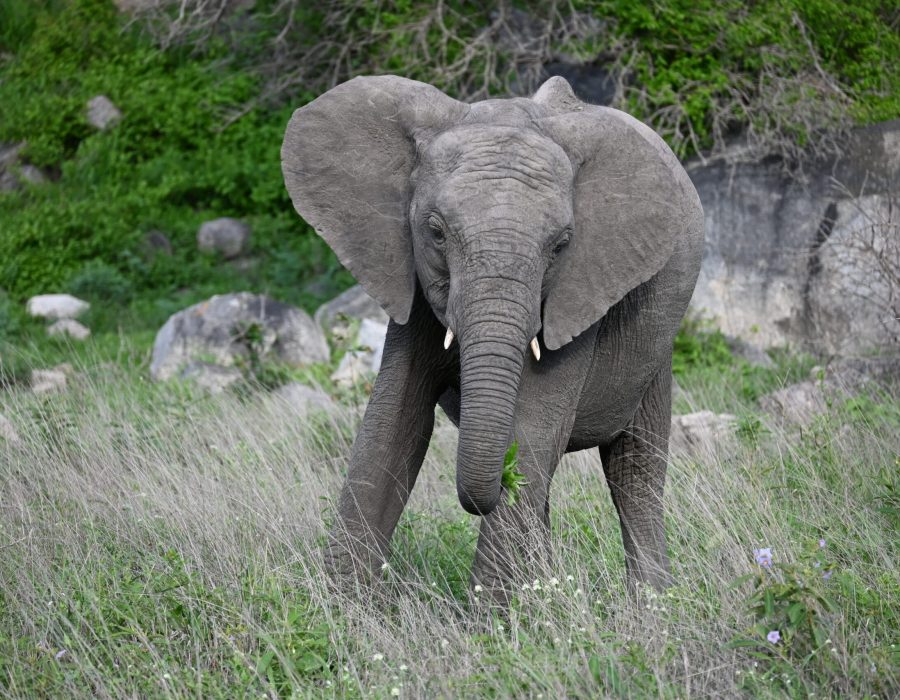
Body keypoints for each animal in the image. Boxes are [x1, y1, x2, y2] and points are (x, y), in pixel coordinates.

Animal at [281, 74, 704, 603]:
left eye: (562, 245)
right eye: (436, 232)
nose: (487, 491)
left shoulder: (582, 290)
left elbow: (531, 432)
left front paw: (488, 619)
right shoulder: (411, 282)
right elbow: (393, 423)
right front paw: (343, 606)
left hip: (656, 345)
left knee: (633, 469)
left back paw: (649, 606)